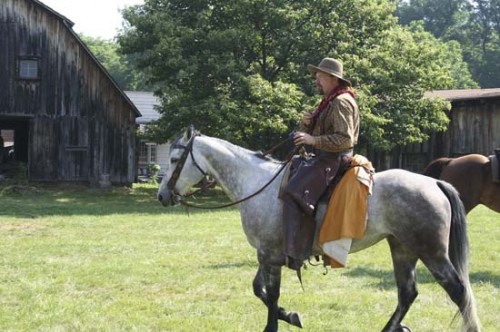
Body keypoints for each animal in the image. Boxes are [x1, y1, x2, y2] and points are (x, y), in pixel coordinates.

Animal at [158, 126, 478, 330]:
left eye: (174, 159)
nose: (162, 196)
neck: (257, 182)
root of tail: (434, 182)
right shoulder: (266, 253)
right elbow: (259, 290)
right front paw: (291, 316)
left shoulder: (271, 256)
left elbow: (271, 295)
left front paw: (277, 322)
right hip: (403, 248)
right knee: (408, 293)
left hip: (432, 253)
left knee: (459, 291)